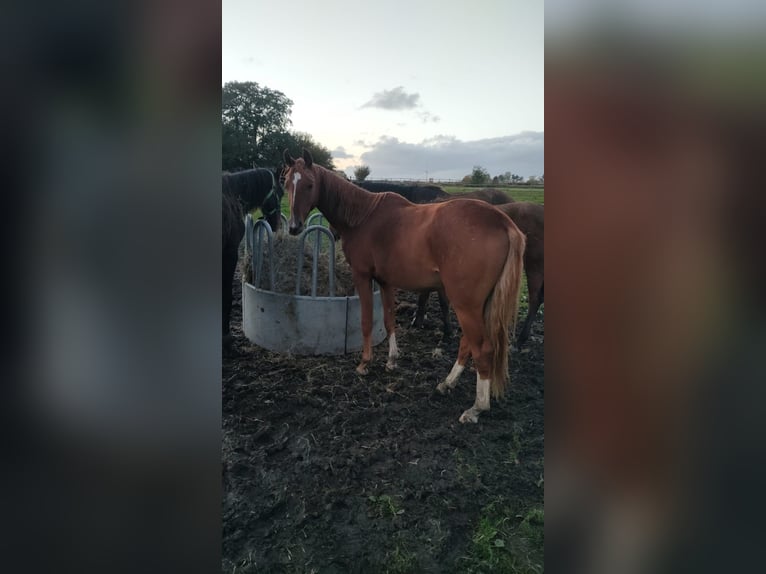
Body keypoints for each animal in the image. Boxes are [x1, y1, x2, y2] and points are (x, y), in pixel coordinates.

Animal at [222, 169, 284, 354]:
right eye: (281, 193)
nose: (276, 225)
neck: (232, 193)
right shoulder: (230, 253)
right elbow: (226, 295)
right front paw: (226, 339)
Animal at [284, 151, 528, 426]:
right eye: (286, 183)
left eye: (309, 184)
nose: (294, 227)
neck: (364, 217)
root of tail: (503, 222)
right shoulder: (386, 282)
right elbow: (389, 320)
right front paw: (391, 360)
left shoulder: (362, 277)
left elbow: (366, 321)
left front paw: (364, 364)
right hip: (478, 304)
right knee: (468, 343)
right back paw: (447, 383)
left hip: (466, 304)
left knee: (482, 348)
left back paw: (477, 407)